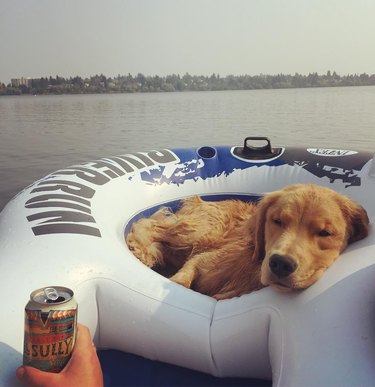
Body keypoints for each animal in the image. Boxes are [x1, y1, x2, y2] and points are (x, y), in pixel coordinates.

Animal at [127, 185, 370, 300]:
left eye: (325, 232)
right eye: (277, 220)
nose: (280, 264)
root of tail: (201, 200)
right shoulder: (205, 260)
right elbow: (184, 278)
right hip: (201, 231)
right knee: (150, 225)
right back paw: (141, 249)